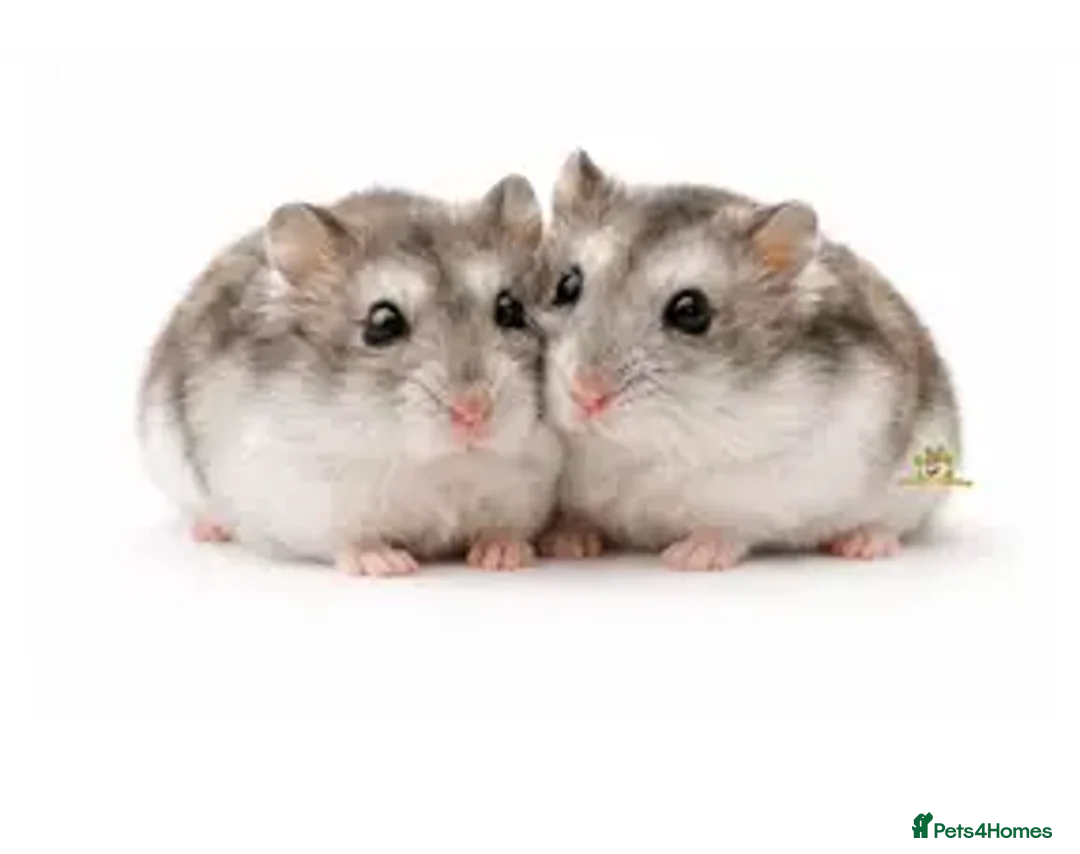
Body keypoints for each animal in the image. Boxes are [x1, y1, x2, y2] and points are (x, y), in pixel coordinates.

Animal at [138, 176, 563, 576]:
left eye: (510, 309)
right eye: (383, 323)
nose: (474, 411)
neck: (435, 462)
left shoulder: (526, 487)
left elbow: (506, 528)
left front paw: (504, 556)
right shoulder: (305, 496)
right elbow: (350, 539)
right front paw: (386, 564)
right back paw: (211, 529)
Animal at [536, 150, 961, 570]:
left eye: (691, 311)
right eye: (566, 285)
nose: (585, 395)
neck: (632, 446)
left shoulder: (779, 485)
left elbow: (732, 525)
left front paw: (690, 557)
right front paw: (566, 543)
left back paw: (862, 544)